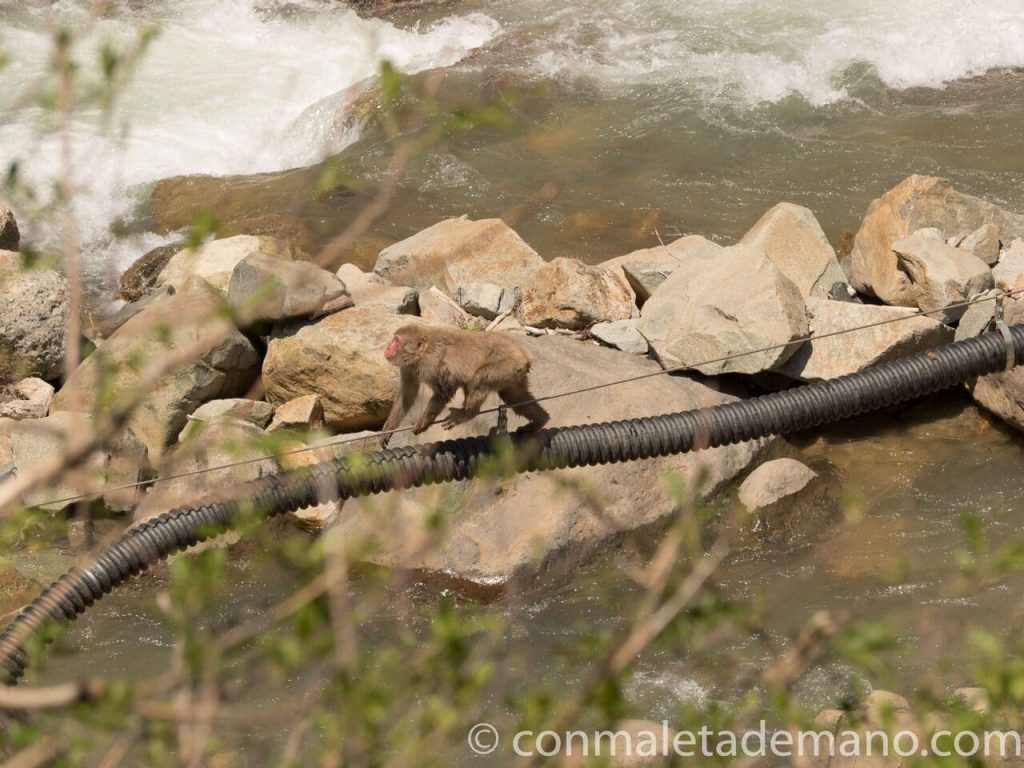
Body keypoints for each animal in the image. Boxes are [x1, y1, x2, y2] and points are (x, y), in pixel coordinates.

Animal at [380, 324, 550, 441]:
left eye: (396, 341)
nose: (387, 348)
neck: (421, 355)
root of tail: (524, 354)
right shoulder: (409, 367)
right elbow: (408, 392)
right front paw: (388, 429)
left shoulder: (433, 363)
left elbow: (445, 390)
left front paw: (423, 422)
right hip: (513, 373)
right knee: (514, 396)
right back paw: (541, 419)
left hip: (507, 365)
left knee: (479, 378)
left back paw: (467, 414)